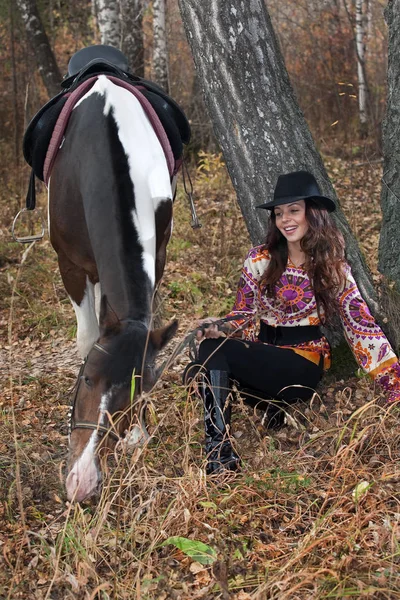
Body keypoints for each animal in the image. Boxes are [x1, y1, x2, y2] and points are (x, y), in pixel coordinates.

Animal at [47, 72, 179, 500]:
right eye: (87, 378)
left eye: (143, 391)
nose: (83, 482)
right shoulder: (70, 265)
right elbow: (87, 336)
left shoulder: (159, 252)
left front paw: (137, 433)